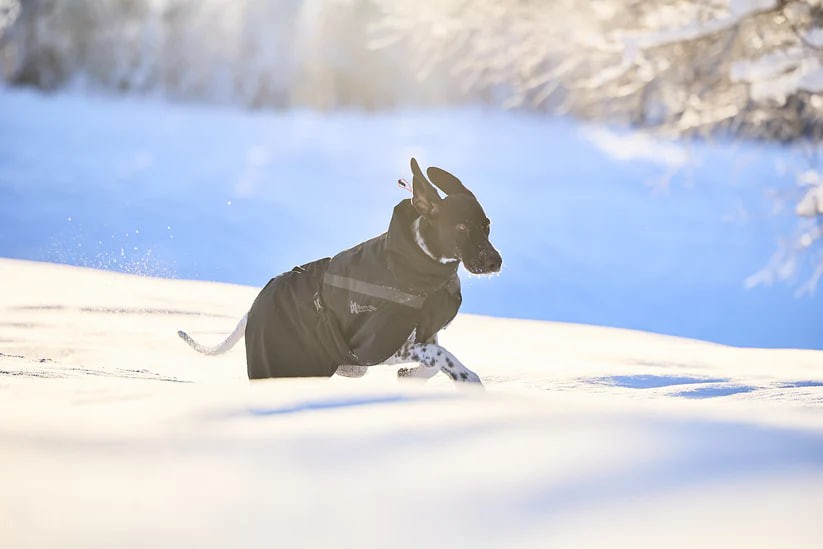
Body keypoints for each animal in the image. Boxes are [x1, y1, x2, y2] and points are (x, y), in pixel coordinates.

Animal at [178, 156, 502, 384]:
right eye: (461, 227)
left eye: (487, 225)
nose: (494, 262)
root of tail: (252, 307)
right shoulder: (376, 347)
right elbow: (440, 355)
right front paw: (467, 377)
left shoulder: (421, 335)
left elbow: (433, 361)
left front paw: (413, 377)